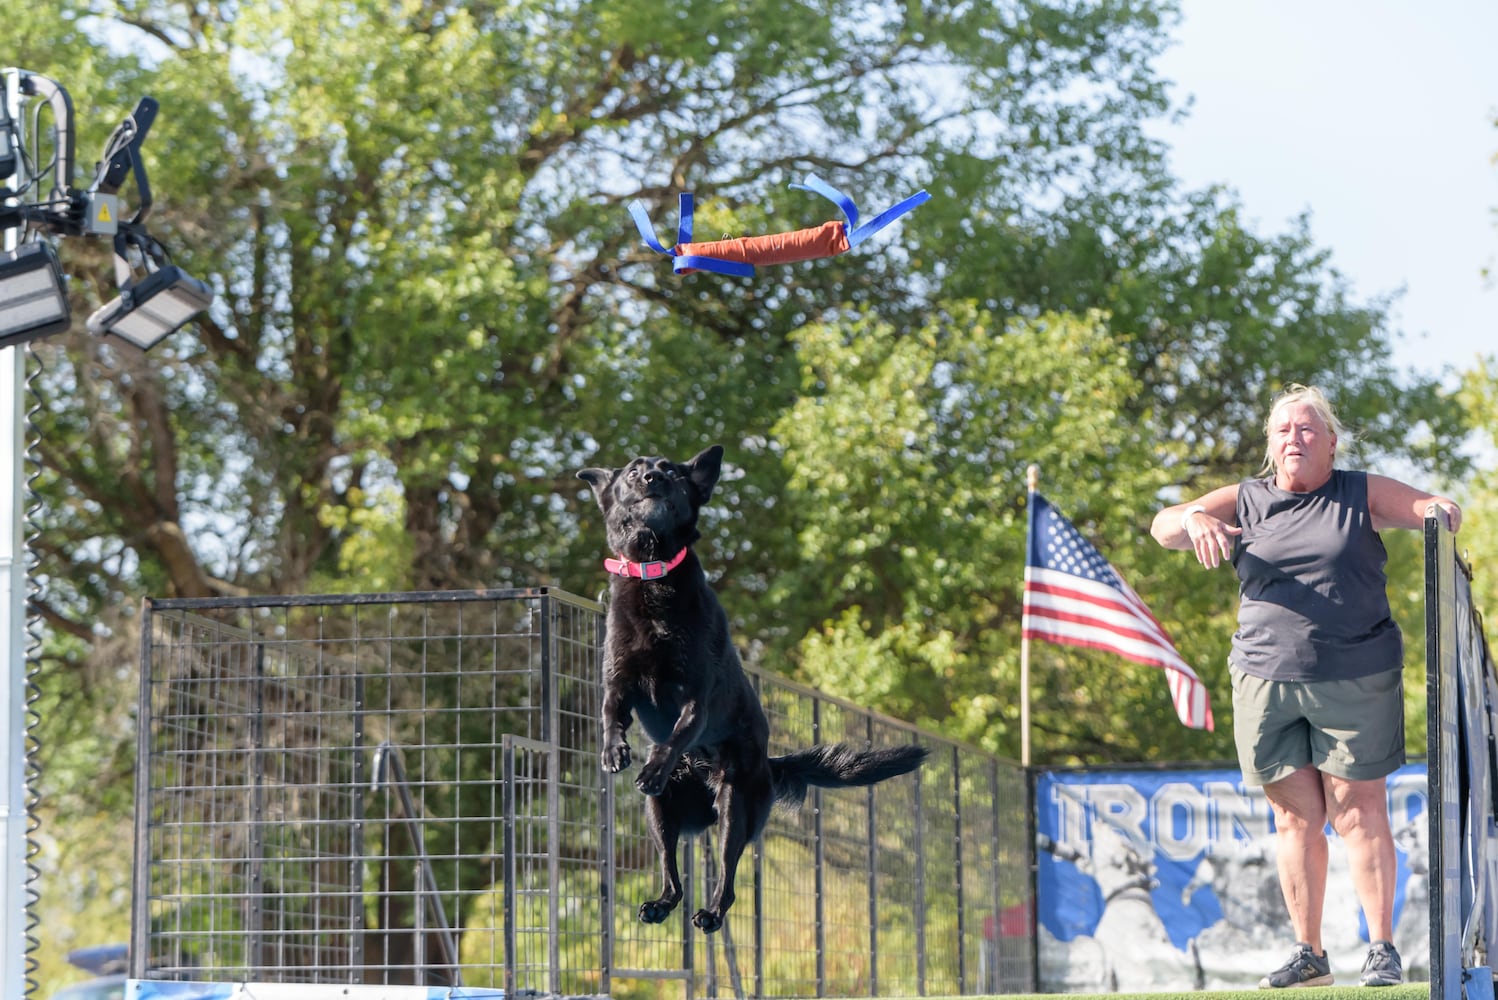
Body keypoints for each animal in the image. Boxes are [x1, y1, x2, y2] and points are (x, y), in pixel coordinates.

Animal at [578, 443, 928, 928]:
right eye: (632, 472)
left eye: (671, 472)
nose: (652, 479)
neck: (654, 573)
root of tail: (768, 764)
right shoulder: (617, 678)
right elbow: (610, 711)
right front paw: (615, 752)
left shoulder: (697, 697)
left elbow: (675, 735)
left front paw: (650, 765)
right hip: (660, 813)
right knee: (672, 873)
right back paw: (660, 904)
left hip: (735, 808)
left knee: (727, 879)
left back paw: (710, 913)